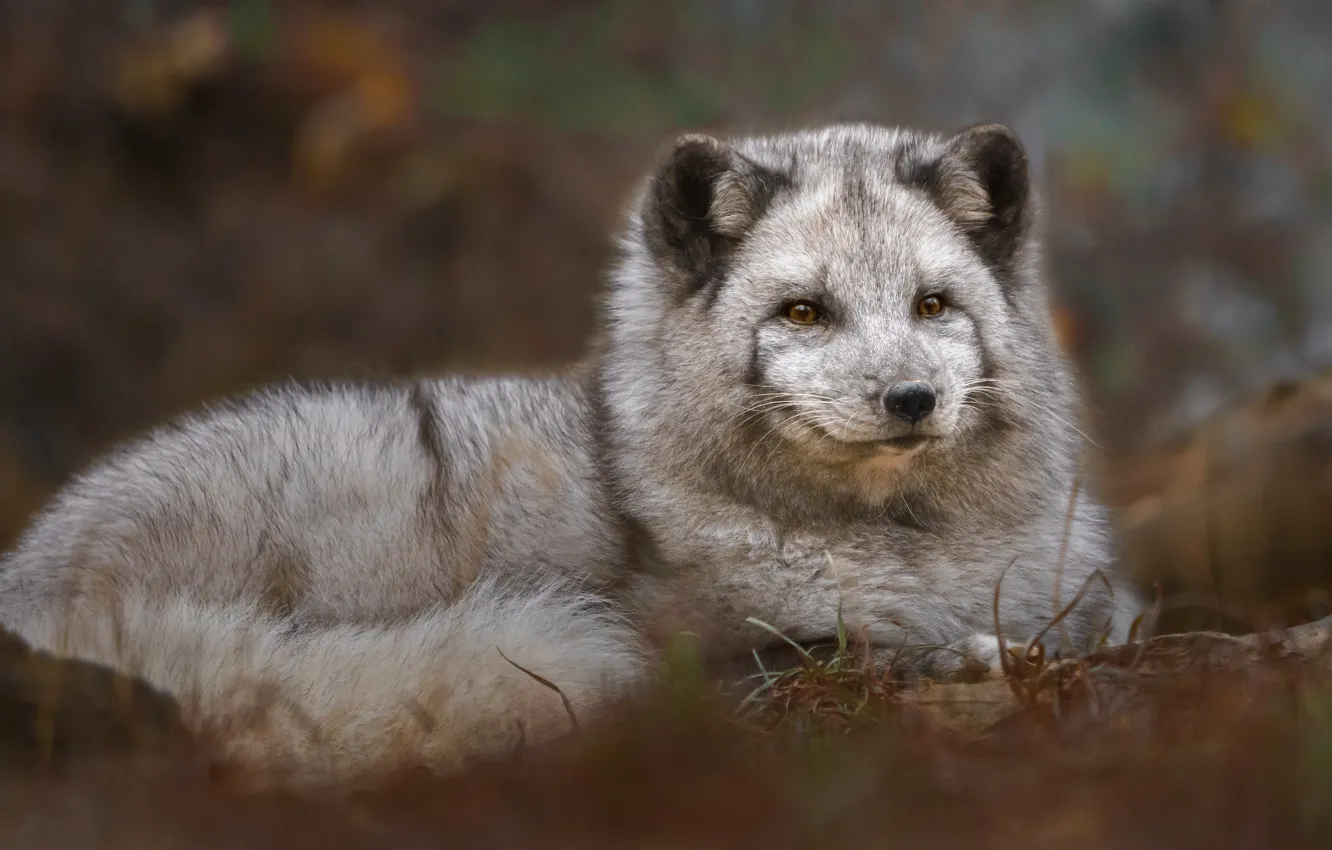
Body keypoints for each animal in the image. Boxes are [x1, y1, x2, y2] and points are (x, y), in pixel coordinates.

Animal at [0, 121, 1142, 783]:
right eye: (804, 312)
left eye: (933, 305)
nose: (911, 399)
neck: (904, 545)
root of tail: (33, 586)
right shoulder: (713, 649)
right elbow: (847, 651)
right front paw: (964, 656)